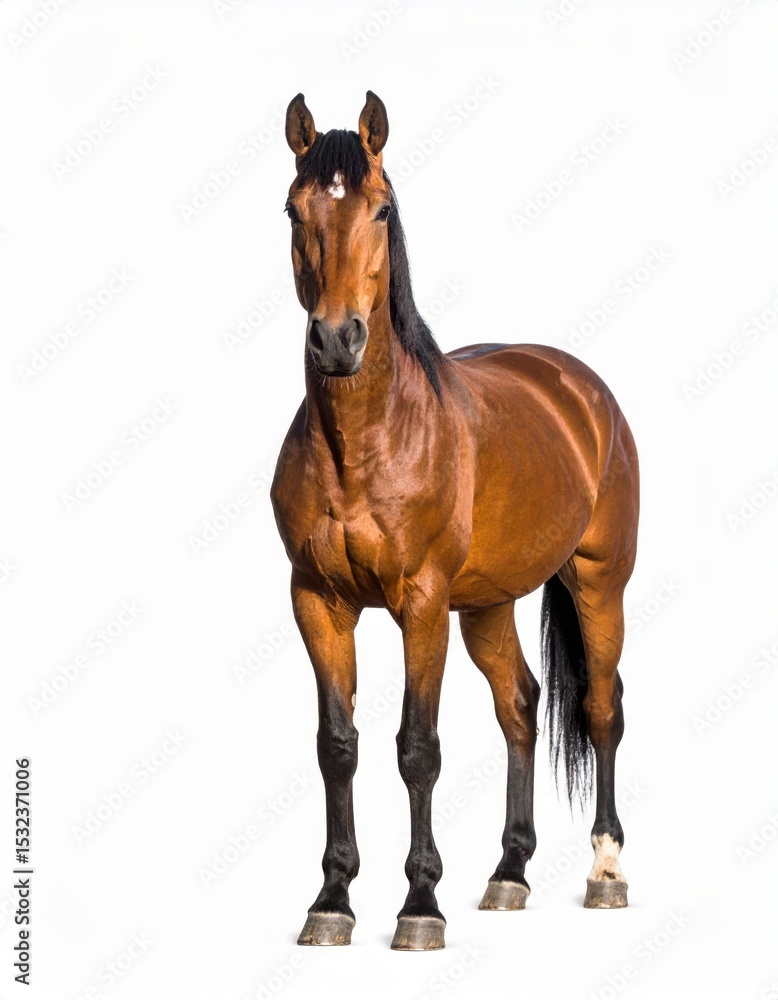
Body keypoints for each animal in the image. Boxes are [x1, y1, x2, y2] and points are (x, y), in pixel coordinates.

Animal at [270, 91, 639, 951]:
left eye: (381, 208)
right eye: (293, 209)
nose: (337, 340)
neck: (368, 440)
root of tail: (578, 387)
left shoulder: (422, 603)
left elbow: (417, 748)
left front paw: (418, 906)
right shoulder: (317, 602)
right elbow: (337, 745)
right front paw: (332, 899)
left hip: (599, 583)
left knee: (603, 708)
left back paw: (606, 872)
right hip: (489, 605)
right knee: (522, 706)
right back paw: (509, 874)